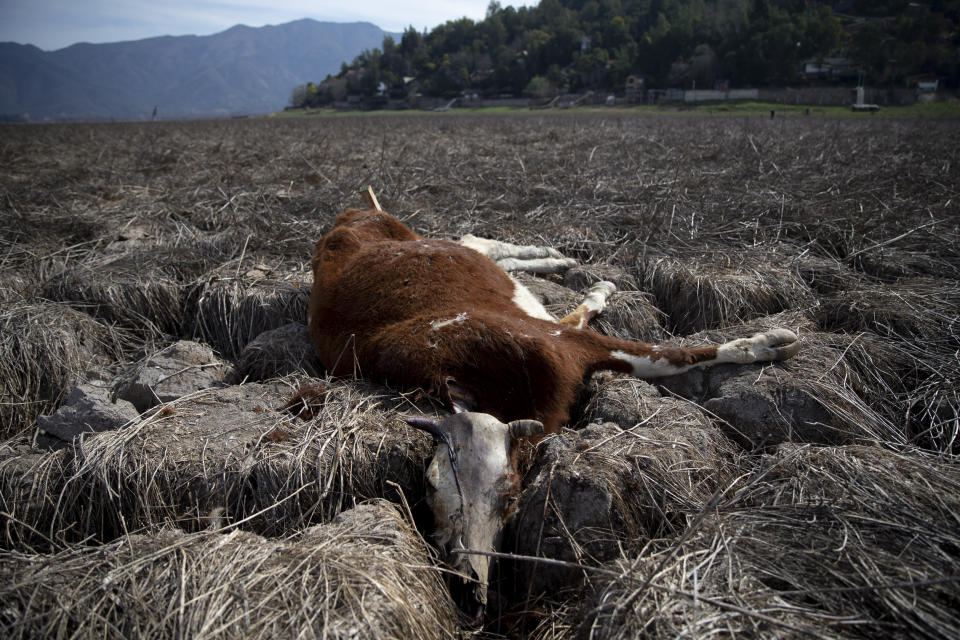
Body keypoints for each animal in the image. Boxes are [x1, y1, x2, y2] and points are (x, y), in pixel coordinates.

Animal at [310, 196, 804, 620]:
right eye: (429, 488)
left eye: (510, 494)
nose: (469, 588)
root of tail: (352, 215)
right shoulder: (562, 342)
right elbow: (587, 317)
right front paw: (597, 286)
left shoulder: (565, 343)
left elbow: (667, 355)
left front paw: (764, 343)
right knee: (478, 246)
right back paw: (554, 259)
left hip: (418, 238)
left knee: (472, 240)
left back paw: (553, 257)